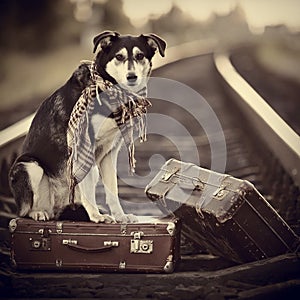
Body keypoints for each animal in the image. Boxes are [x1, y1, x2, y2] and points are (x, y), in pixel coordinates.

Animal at [8, 31, 166, 223]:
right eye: (119, 57)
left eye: (140, 56)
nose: (132, 76)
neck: (106, 87)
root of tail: (56, 208)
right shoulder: (83, 144)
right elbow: (88, 188)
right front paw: (96, 216)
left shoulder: (109, 152)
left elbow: (112, 190)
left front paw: (120, 216)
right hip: (29, 166)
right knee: (23, 211)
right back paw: (38, 212)